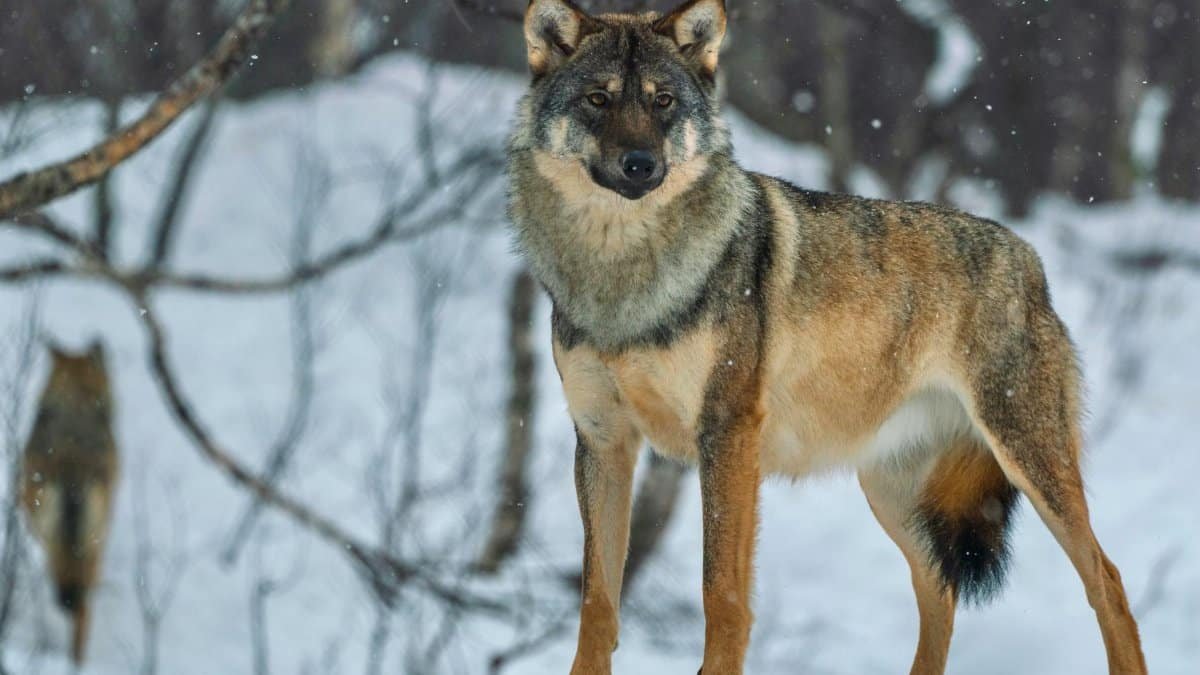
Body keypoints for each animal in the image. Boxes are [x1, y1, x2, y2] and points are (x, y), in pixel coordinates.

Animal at [506, 0, 1147, 673]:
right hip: (893, 494)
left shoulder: (727, 434)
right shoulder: (603, 440)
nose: (641, 165)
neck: (620, 276)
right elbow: (597, 601)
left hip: (1029, 463)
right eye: (597, 100)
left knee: (1107, 581)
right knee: (941, 594)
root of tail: (1028, 256)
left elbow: (721, 594)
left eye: (663, 103)